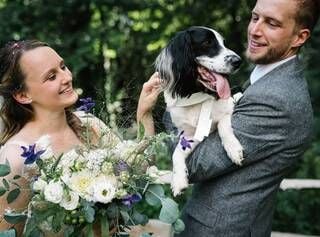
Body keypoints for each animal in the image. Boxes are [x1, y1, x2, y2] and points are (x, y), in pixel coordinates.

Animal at [156, 26, 244, 196]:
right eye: (207, 42)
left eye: (223, 42)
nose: (238, 61)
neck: (197, 96)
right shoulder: (191, 134)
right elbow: (177, 153)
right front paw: (179, 180)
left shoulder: (228, 108)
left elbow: (223, 124)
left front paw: (234, 149)